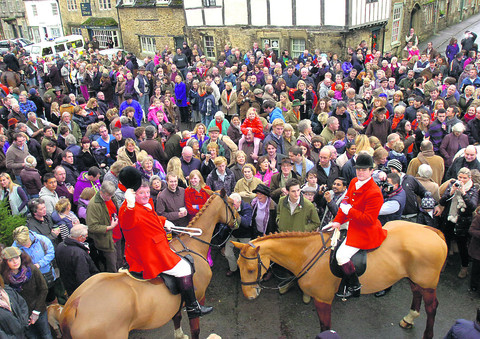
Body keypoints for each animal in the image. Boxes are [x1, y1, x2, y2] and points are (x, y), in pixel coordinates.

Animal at [60, 191, 240, 339]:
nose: (238, 220)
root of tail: (73, 307)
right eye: (231, 203)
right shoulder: (198, 297)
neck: (193, 244)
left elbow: (177, 319)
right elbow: (195, 329)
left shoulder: (176, 305)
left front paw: (180, 335)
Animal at [234, 220, 448, 339]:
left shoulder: (322, 300)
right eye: (238, 266)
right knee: (416, 293)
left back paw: (427, 334)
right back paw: (409, 318)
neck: (307, 252)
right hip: (414, 278)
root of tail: (431, 231)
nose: (249, 295)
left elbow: (325, 327)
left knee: (432, 307)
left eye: (251, 270)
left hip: (428, 283)